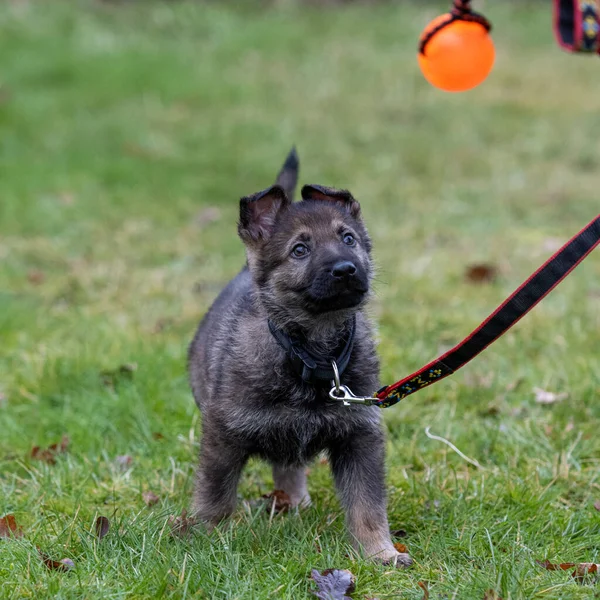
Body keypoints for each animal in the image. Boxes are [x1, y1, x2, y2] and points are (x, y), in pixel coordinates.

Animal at [189, 150, 412, 568]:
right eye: (299, 250)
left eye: (347, 238)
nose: (345, 269)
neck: (312, 354)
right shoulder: (223, 432)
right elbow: (215, 494)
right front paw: (203, 537)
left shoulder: (360, 436)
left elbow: (367, 505)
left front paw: (380, 553)